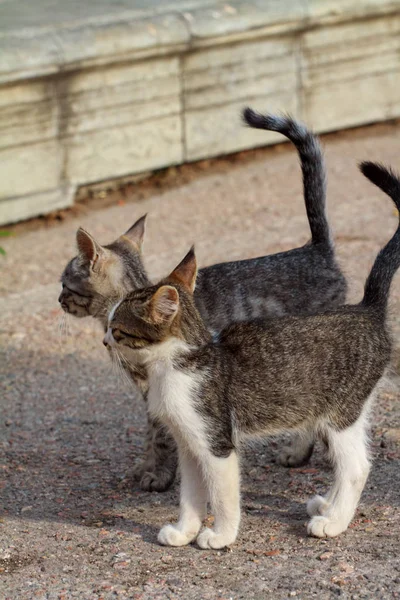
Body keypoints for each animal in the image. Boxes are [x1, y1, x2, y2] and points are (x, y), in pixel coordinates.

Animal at [58, 109, 346, 492]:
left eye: (64, 284)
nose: (58, 299)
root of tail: (314, 248)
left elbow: (161, 435)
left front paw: (158, 474)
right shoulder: (151, 393)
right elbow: (152, 433)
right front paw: (146, 466)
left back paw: (300, 452)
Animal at [105, 159, 400, 548]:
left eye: (117, 329)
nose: (104, 340)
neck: (176, 367)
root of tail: (366, 309)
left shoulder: (216, 442)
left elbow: (223, 494)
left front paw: (221, 535)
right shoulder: (189, 444)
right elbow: (190, 494)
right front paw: (184, 531)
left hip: (341, 411)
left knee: (356, 466)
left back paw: (333, 522)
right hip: (346, 411)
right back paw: (327, 505)